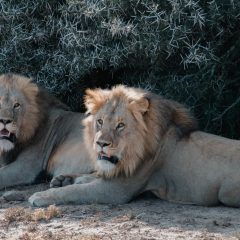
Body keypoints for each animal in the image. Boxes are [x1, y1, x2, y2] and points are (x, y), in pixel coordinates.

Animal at [28, 85, 240, 207]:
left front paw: (41, 196)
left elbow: (76, 191)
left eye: (120, 125)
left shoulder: (116, 191)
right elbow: (91, 177)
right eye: (100, 122)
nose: (101, 144)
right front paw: (65, 179)